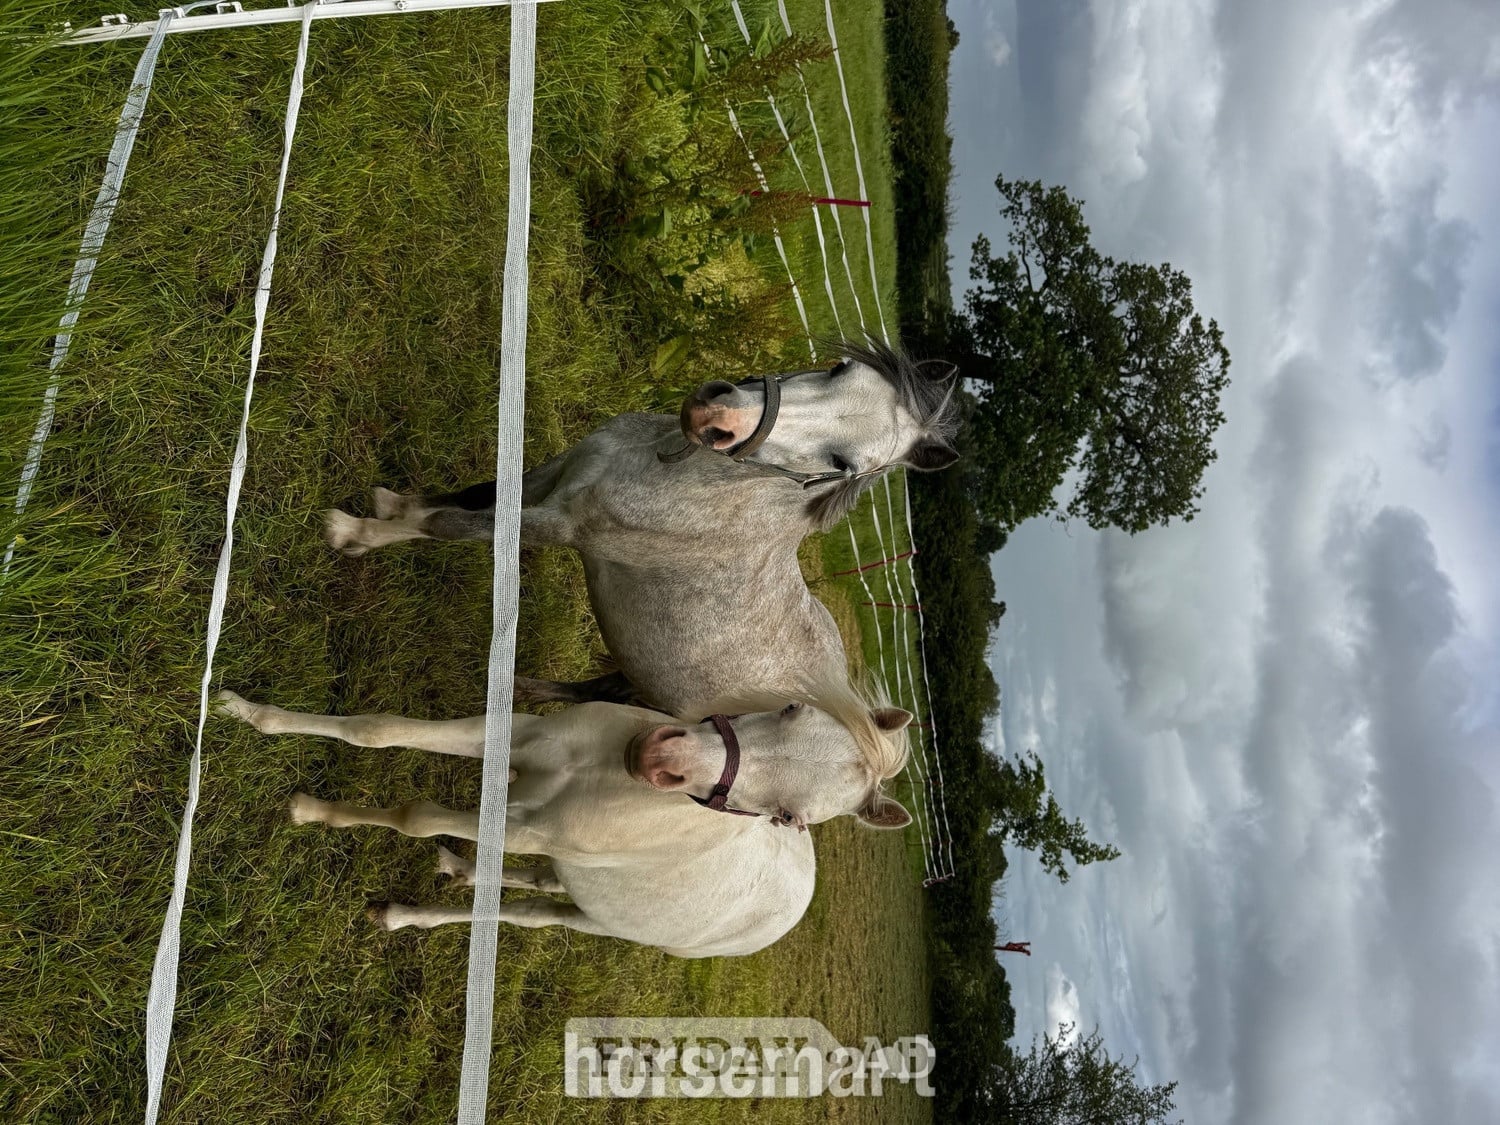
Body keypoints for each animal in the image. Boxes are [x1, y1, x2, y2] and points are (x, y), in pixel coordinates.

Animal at [215, 683, 912, 958]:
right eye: (791, 707)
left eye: (787, 817)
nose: (660, 758)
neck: (605, 774)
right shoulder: (517, 740)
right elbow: (377, 731)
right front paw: (247, 713)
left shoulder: (532, 826)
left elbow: (416, 817)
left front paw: (312, 811)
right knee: (528, 882)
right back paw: (457, 872)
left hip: (597, 921)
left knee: (527, 912)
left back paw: (403, 914)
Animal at [321, 340, 959, 718]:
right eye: (836, 367)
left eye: (844, 464)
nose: (716, 415)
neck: (675, 476)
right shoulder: (557, 473)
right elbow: (476, 495)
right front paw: (391, 506)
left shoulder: (563, 527)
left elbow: (452, 523)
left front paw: (353, 534)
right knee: (597, 689)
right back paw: (524, 691)